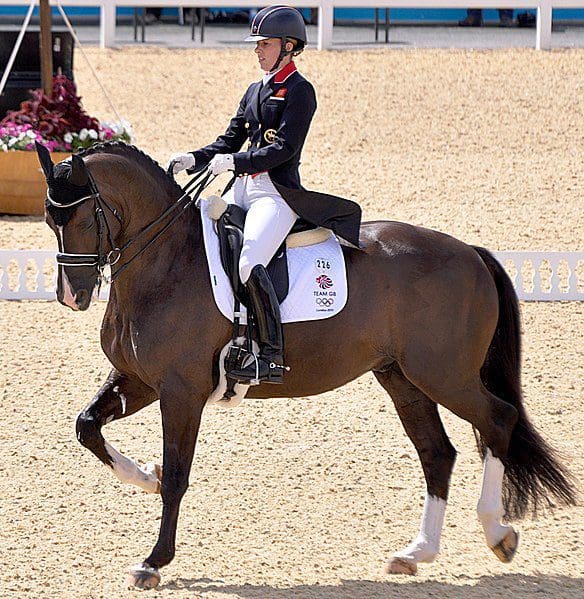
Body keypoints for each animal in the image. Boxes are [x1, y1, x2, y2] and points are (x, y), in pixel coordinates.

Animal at [35, 142, 576, 592]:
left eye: (84, 216)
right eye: (48, 219)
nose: (71, 297)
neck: (165, 263)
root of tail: (471, 253)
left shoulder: (180, 391)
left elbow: (177, 478)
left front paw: (153, 561)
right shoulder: (140, 381)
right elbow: (88, 427)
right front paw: (146, 473)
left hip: (445, 374)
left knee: (498, 420)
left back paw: (498, 533)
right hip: (402, 378)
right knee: (437, 453)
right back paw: (416, 553)